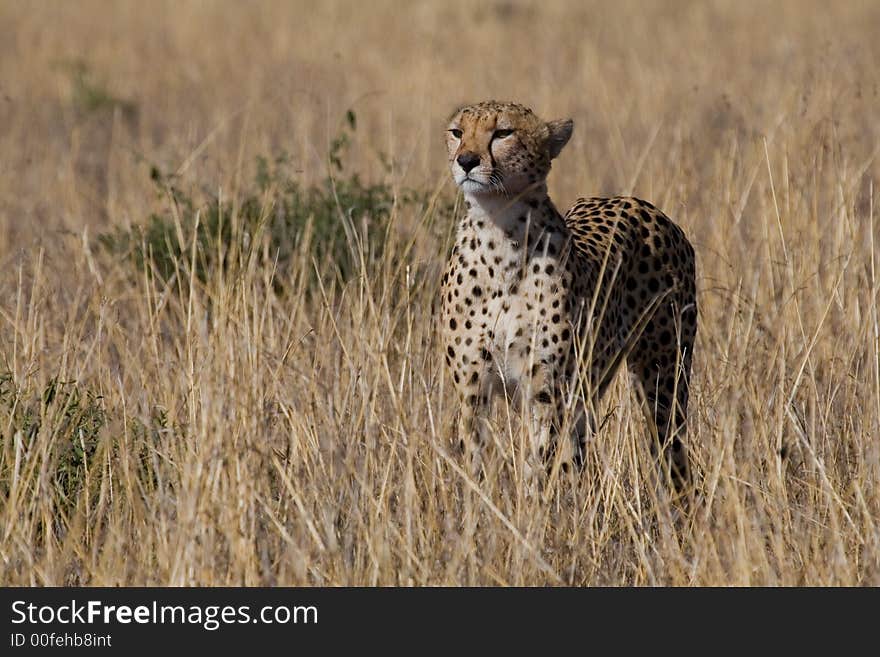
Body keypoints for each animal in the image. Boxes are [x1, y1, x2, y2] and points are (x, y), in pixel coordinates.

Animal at [440, 100, 700, 490]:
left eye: (503, 133)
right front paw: (478, 503)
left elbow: (538, 465)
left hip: (664, 376)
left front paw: (532, 504)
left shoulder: (547, 391)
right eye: (457, 132)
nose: (466, 160)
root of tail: (634, 201)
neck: (499, 229)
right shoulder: (473, 389)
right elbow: (476, 461)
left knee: (671, 451)